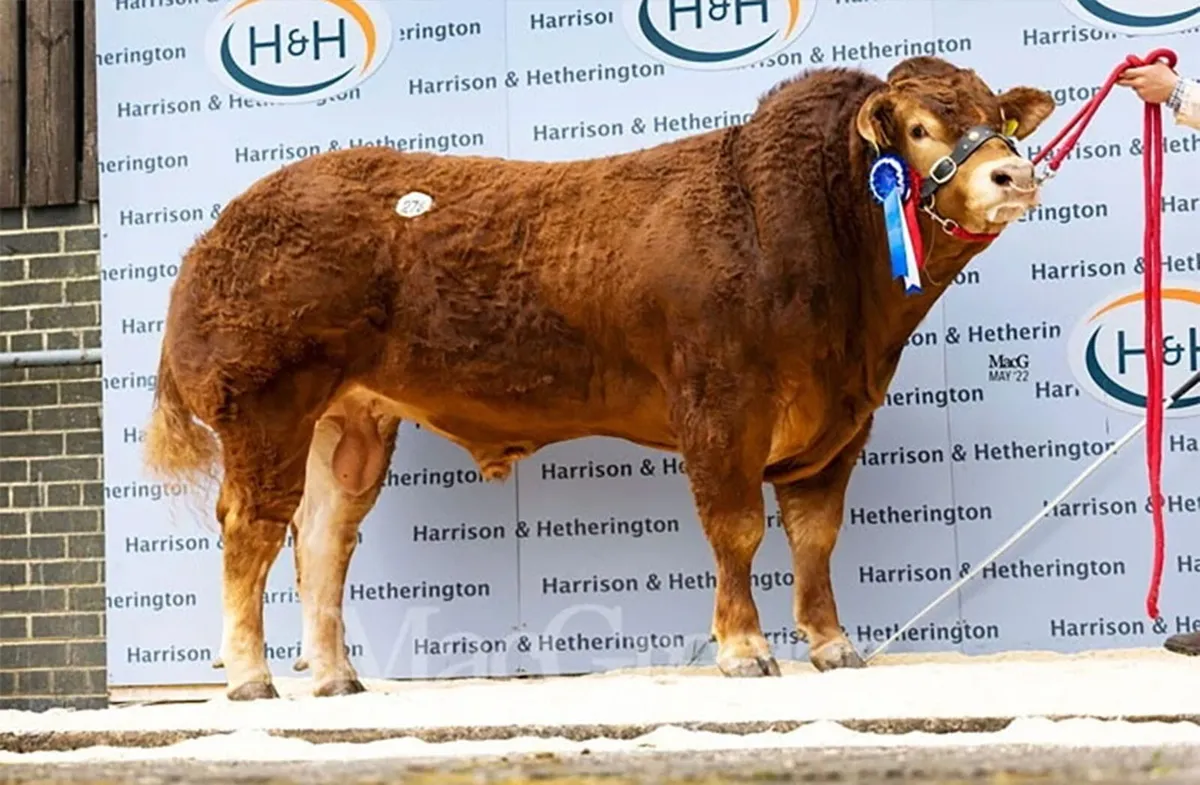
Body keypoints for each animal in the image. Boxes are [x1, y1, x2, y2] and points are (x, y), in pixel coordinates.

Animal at [143, 55, 1055, 701]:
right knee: (251, 529)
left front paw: (832, 645)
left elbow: (816, 537)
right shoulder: (720, 405)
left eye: (995, 118)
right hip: (265, 405)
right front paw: (744, 650)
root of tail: (223, 227)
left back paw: (335, 675)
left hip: (351, 420)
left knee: (323, 536)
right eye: (919, 127)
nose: (1013, 174)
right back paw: (250, 677)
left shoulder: (842, 423)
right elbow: (736, 529)